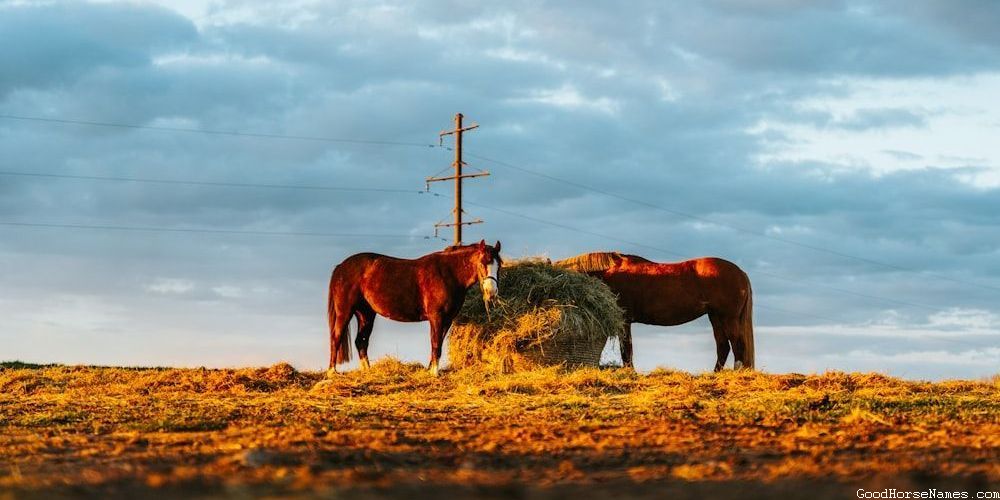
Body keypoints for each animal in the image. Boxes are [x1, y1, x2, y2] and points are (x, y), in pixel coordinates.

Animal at [326, 240, 502, 376]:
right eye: (482, 263)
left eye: (498, 265)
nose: (491, 292)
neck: (448, 274)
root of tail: (340, 267)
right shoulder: (436, 317)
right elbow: (435, 343)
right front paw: (434, 373)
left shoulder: (447, 319)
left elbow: (438, 343)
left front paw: (430, 370)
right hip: (345, 312)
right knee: (336, 337)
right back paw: (332, 372)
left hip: (366, 314)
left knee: (361, 341)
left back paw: (367, 371)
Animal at [555, 252, 753, 371]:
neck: (609, 272)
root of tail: (740, 272)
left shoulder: (625, 320)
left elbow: (626, 349)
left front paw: (630, 372)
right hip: (715, 317)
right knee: (723, 346)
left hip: (728, 317)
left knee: (737, 344)